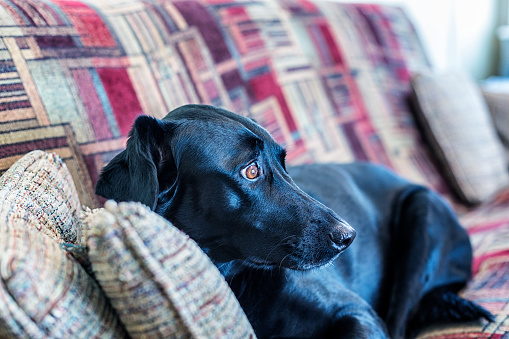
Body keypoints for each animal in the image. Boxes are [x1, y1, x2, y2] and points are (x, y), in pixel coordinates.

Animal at [96, 105, 492, 338]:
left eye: (285, 163)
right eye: (251, 170)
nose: (349, 237)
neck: (236, 283)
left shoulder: (357, 313)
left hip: (423, 212)